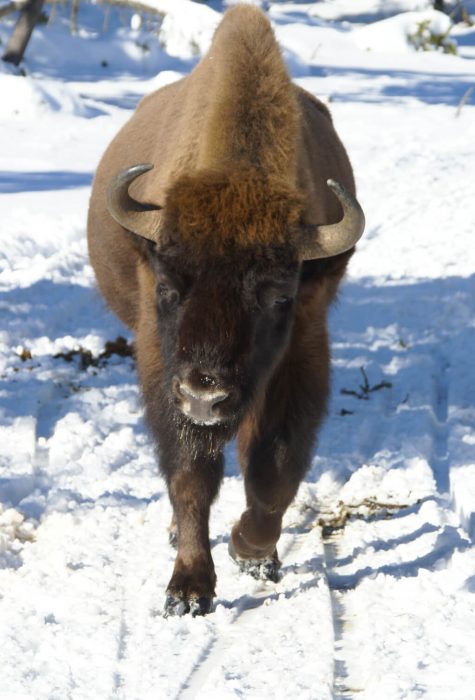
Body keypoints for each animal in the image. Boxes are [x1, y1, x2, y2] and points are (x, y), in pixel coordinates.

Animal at [88, 5, 364, 616]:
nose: (205, 395)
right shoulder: (162, 364)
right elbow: (191, 474)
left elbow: (273, 465)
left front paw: (252, 550)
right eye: (168, 287)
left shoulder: (300, 348)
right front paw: (189, 589)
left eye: (280, 296)